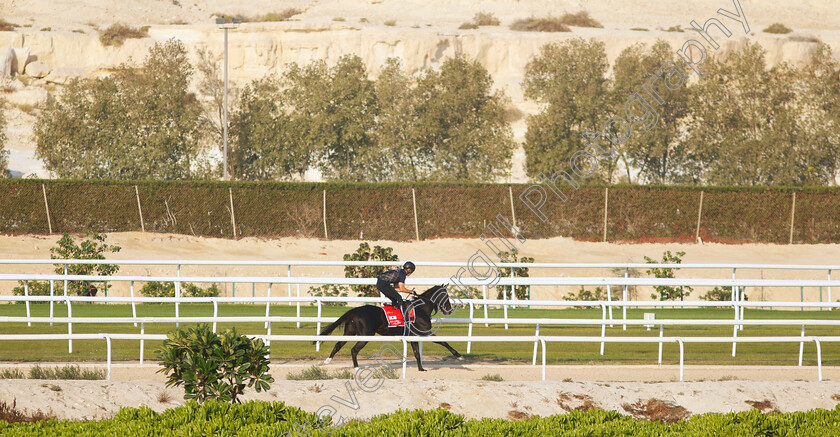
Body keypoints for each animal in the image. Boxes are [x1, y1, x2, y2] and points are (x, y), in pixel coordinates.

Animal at [316, 284, 462, 370]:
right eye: (446, 296)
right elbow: (442, 341)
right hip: (366, 334)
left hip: (350, 332)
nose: (449, 310)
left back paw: (326, 361)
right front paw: (459, 356)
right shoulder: (425, 332)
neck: (421, 308)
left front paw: (421, 369)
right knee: (353, 350)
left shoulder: (413, 336)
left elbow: (416, 353)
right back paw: (357, 367)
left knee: (338, 344)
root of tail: (354, 310)